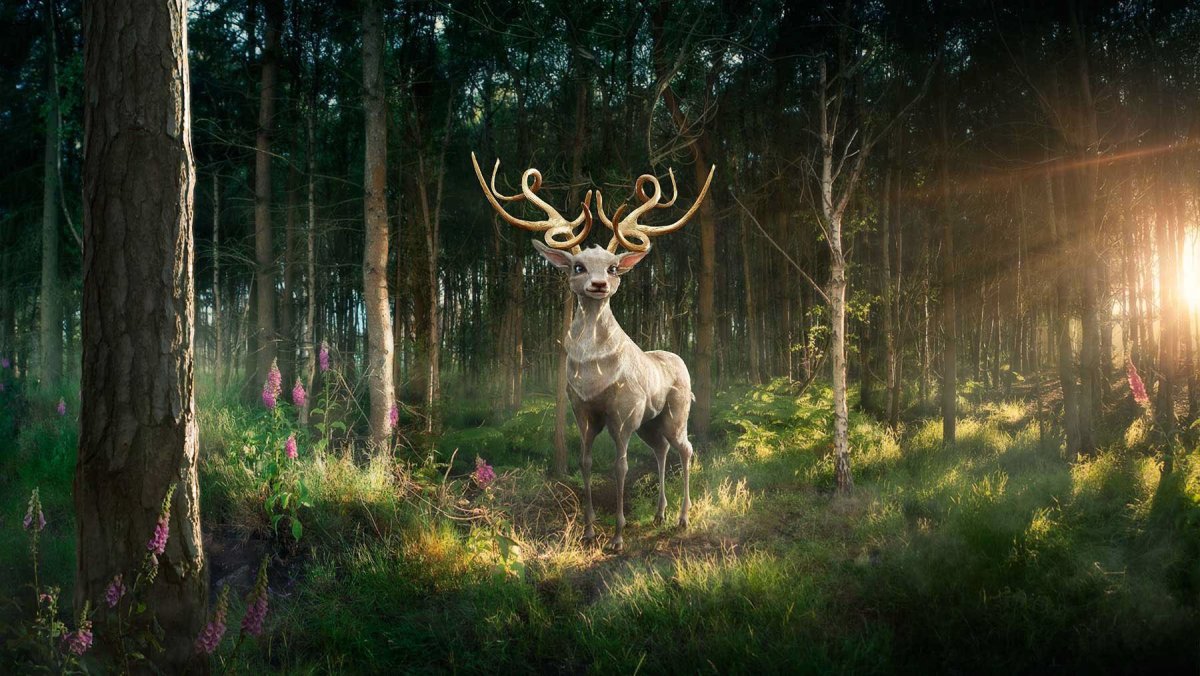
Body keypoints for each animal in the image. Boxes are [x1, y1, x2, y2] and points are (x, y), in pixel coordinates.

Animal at [471, 152, 715, 551]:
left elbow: (620, 466)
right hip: (651, 422)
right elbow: (585, 463)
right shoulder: (582, 411)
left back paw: (682, 518)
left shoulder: (624, 413)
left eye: (614, 268)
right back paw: (660, 513)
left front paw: (617, 536)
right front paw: (587, 531)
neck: (592, 374)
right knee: (661, 450)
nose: (598, 284)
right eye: (577, 266)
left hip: (677, 411)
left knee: (686, 449)